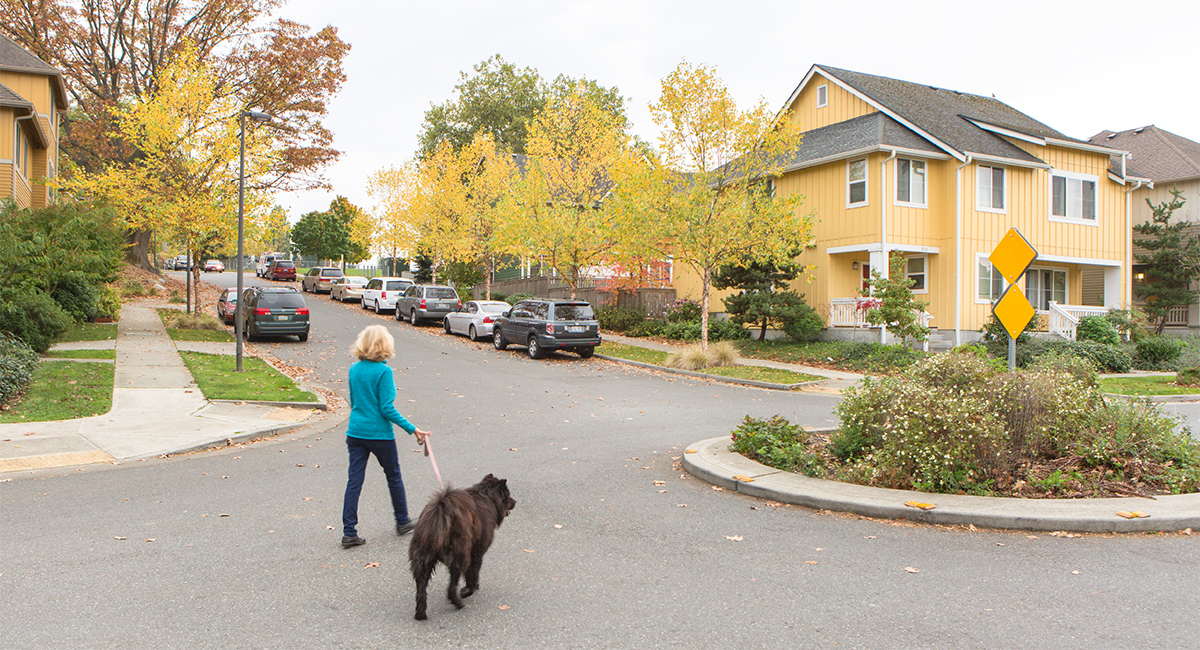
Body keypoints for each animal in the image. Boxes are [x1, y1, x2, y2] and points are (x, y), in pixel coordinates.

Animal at [410, 477, 513, 623]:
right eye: (508, 494)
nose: (515, 502)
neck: (486, 496)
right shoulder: (476, 552)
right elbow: (473, 572)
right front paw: (470, 589)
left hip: (422, 561)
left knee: (421, 589)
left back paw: (420, 613)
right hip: (459, 556)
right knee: (451, 587)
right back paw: (459, 602)